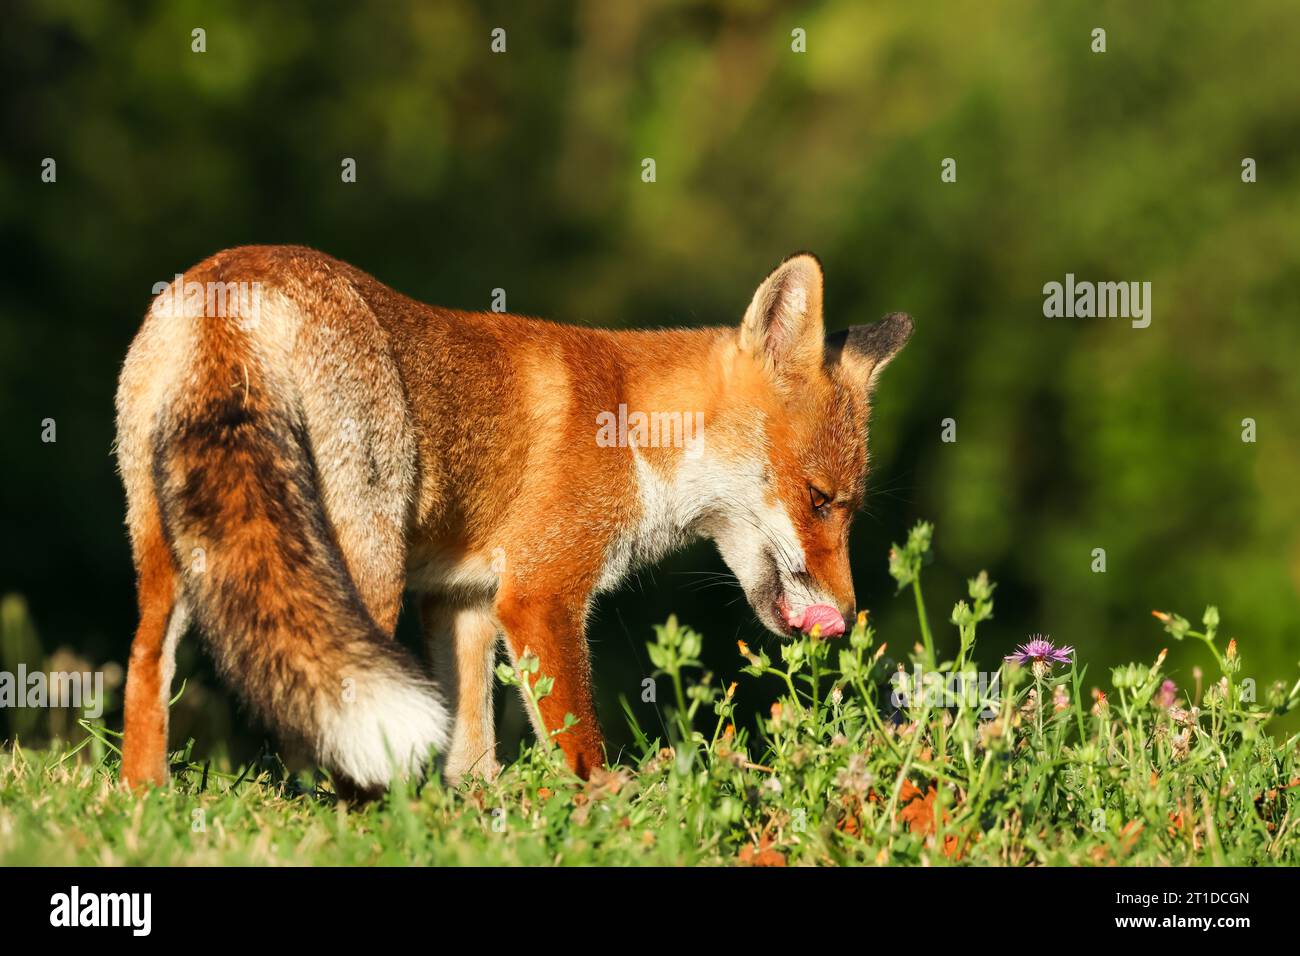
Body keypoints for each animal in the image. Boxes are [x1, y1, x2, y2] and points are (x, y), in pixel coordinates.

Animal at [115, 246, 912, 793]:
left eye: (850, 508)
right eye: (819, 499)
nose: (848, 614)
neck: (637, 431)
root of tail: (239, 278)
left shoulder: (462, 599)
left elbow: (470, 746)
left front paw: (475, 813)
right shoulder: (539, 592)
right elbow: (576, 739)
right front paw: (604, 805)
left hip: (175, 552)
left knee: (145, 668)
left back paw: (145, 798)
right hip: (361, 558)